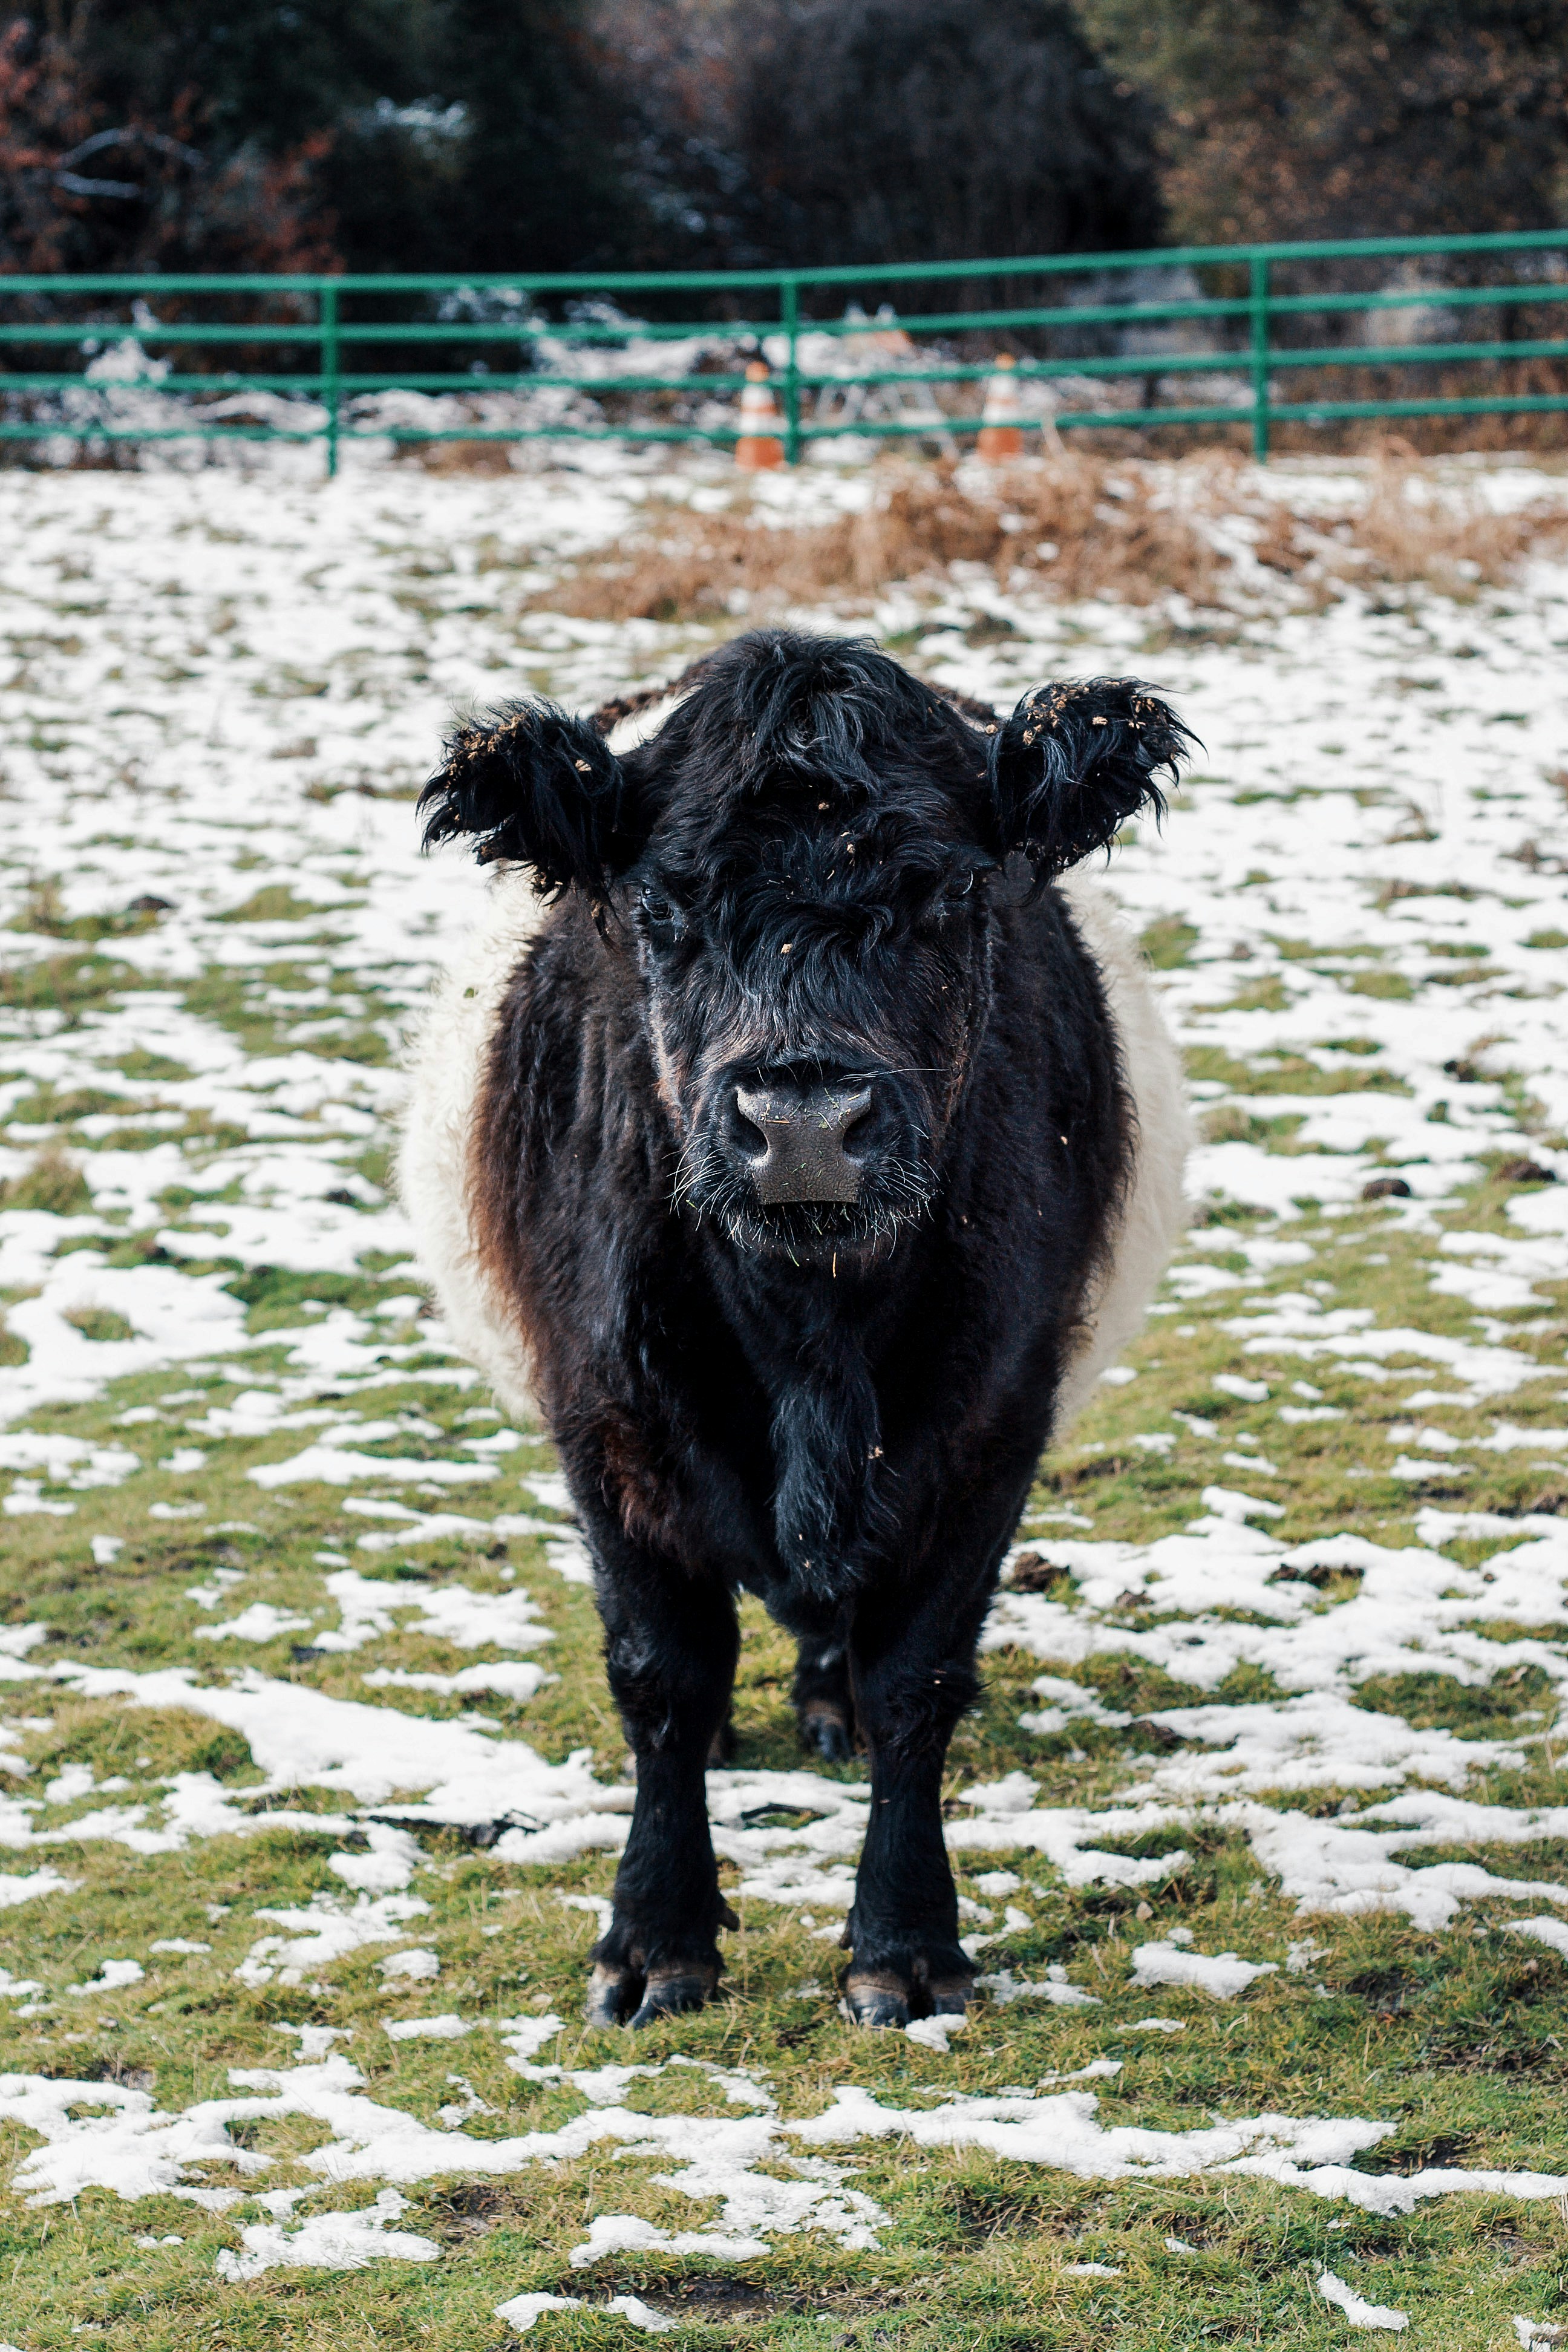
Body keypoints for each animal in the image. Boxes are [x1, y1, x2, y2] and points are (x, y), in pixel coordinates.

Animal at [401, 630, 1191, 2031]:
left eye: (953, 898)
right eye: (658, 911)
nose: (806, 1124)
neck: (810, 1326)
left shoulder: (996, 1419)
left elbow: (918, 1675)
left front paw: (905, 1943)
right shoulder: (601, 1415)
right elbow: (661, 1673)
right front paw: (655, 1939)